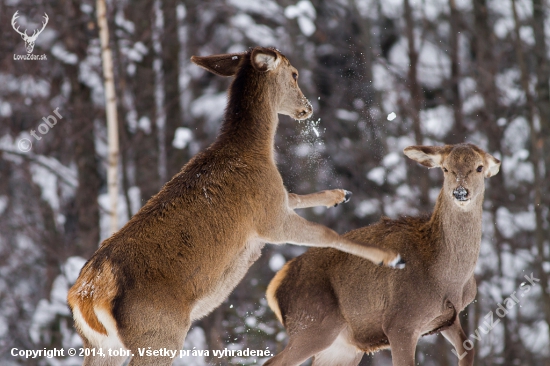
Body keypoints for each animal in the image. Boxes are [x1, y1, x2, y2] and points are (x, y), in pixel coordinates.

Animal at [68, 48, 406, 366]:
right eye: (295, 74)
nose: (308, 107)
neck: (254, 152)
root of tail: (86, 294)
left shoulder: (275, 198)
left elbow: (296, 195)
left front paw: (341, 194)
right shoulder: (269, 220)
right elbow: (326, 233)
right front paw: (391, 257)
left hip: (100, 345)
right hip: (158, 332)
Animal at [268, 143, 504, 366]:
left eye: (479, 167)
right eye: (446, 168)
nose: (460, 192)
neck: (447, 279)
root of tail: (275, 285)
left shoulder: (446, 320)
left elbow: (468, 350)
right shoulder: (400, 321)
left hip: (342, 346)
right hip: (312, 324)